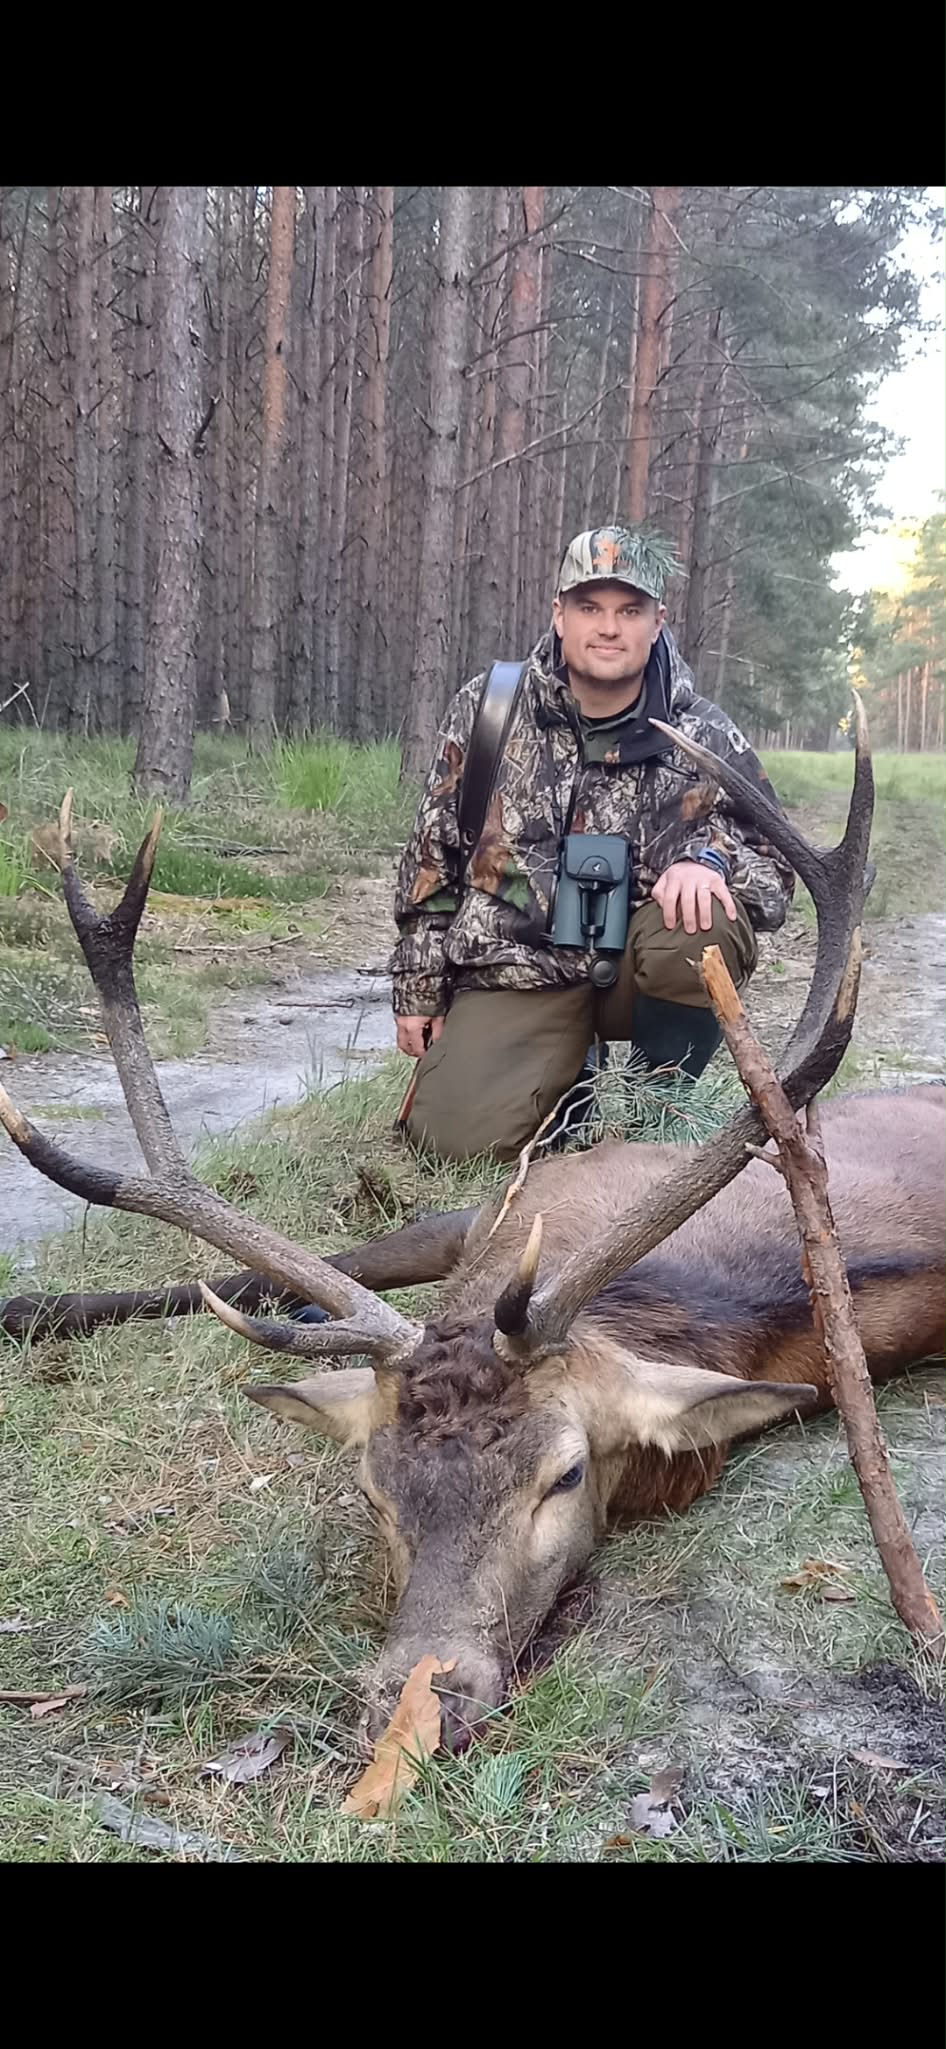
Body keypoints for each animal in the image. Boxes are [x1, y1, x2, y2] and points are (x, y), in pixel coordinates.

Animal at [1, 707, 945, 1753]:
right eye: (372, 1488)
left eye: (566, 1476)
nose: (420, 1705)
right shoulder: (490, 1211)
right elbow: (299, 1268)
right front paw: (32, 1304)